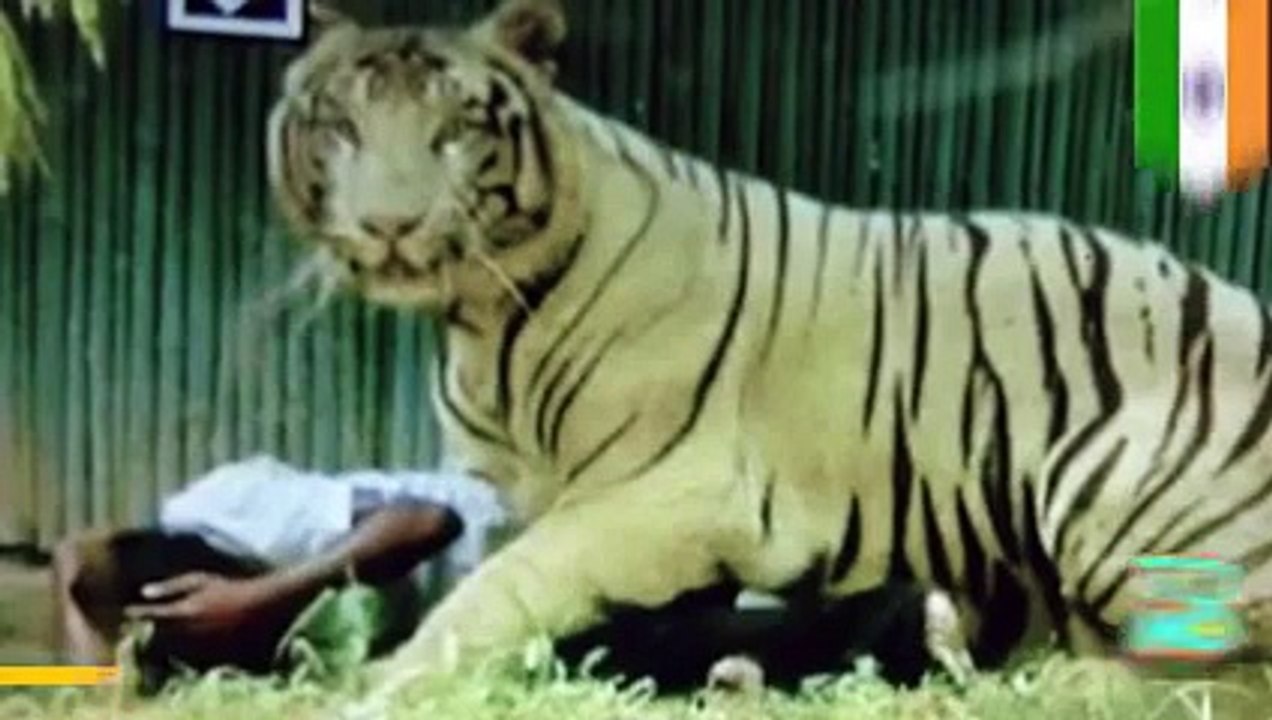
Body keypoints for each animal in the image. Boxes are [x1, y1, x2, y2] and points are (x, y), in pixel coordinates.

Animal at [265, 0, 1272, 709]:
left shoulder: (664, 496)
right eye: (341, 127)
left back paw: (1059, 687)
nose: (389, 225)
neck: (479, 321)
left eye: (455, 132)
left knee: (1224, 673)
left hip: (1115, 475)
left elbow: (497, 590)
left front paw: (378, 683)